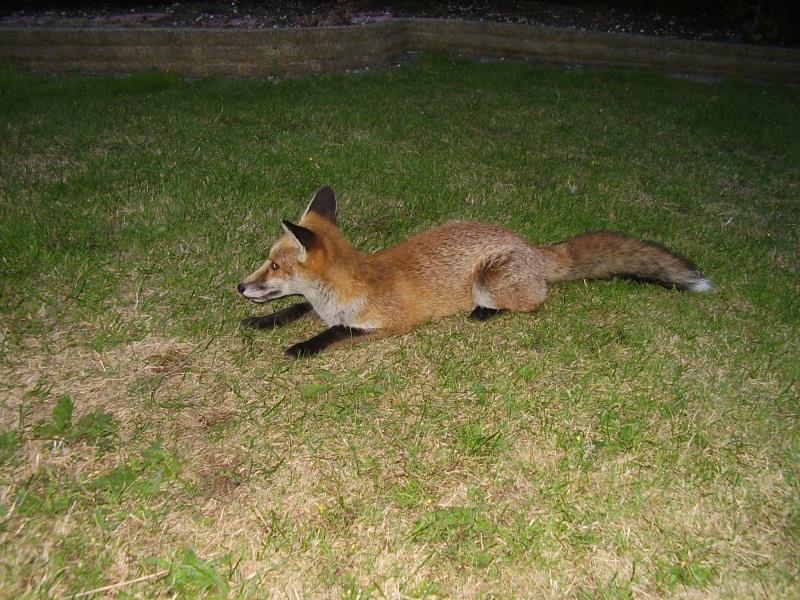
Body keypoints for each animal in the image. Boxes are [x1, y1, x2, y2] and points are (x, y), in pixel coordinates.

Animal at [238, 188, 712, 356]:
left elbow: (333, 332)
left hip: (488, 280)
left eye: (274, 265)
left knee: (535, 303)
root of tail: (531, 245)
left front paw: (301, 347)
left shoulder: (390, 325)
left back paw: (484, 312)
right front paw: (263, 321)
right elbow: (295, 310)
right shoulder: (317, 306)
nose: (241, 286)